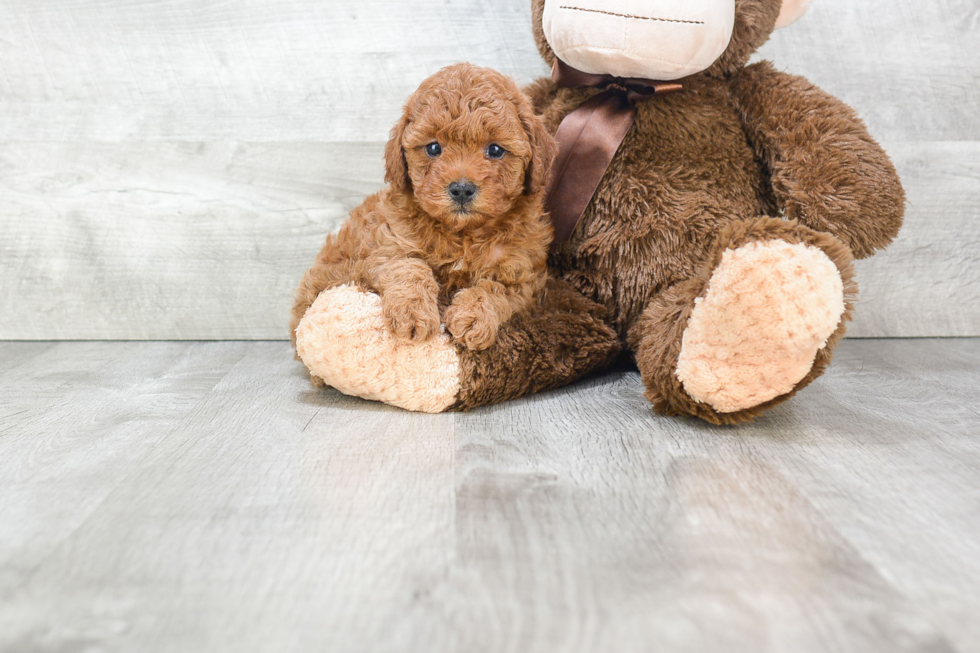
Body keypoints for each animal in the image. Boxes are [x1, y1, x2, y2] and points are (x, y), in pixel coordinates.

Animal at [290, 62, 556, 352]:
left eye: (495, 150)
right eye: (433, 148)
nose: (461, 189)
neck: (463, 234)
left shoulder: (523, 276)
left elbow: (495, 290)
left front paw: (474, 317)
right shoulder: (385, 247)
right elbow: (410, 268)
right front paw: (413, 313)